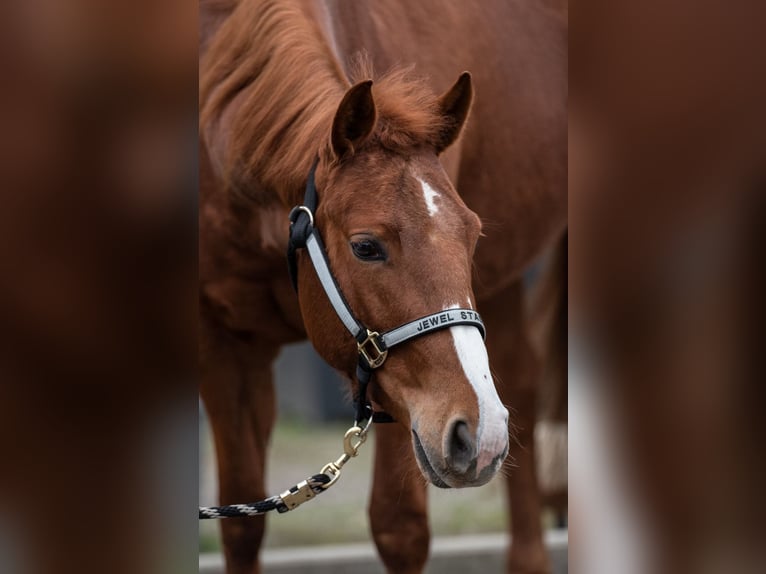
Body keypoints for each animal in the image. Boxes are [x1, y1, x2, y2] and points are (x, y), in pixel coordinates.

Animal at [201, 1, 568, 574]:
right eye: (366, 247)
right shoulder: (226, 344)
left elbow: (400, 529)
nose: (479, 436)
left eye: (472, 234)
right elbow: (242, 525)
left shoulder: (399, 395)